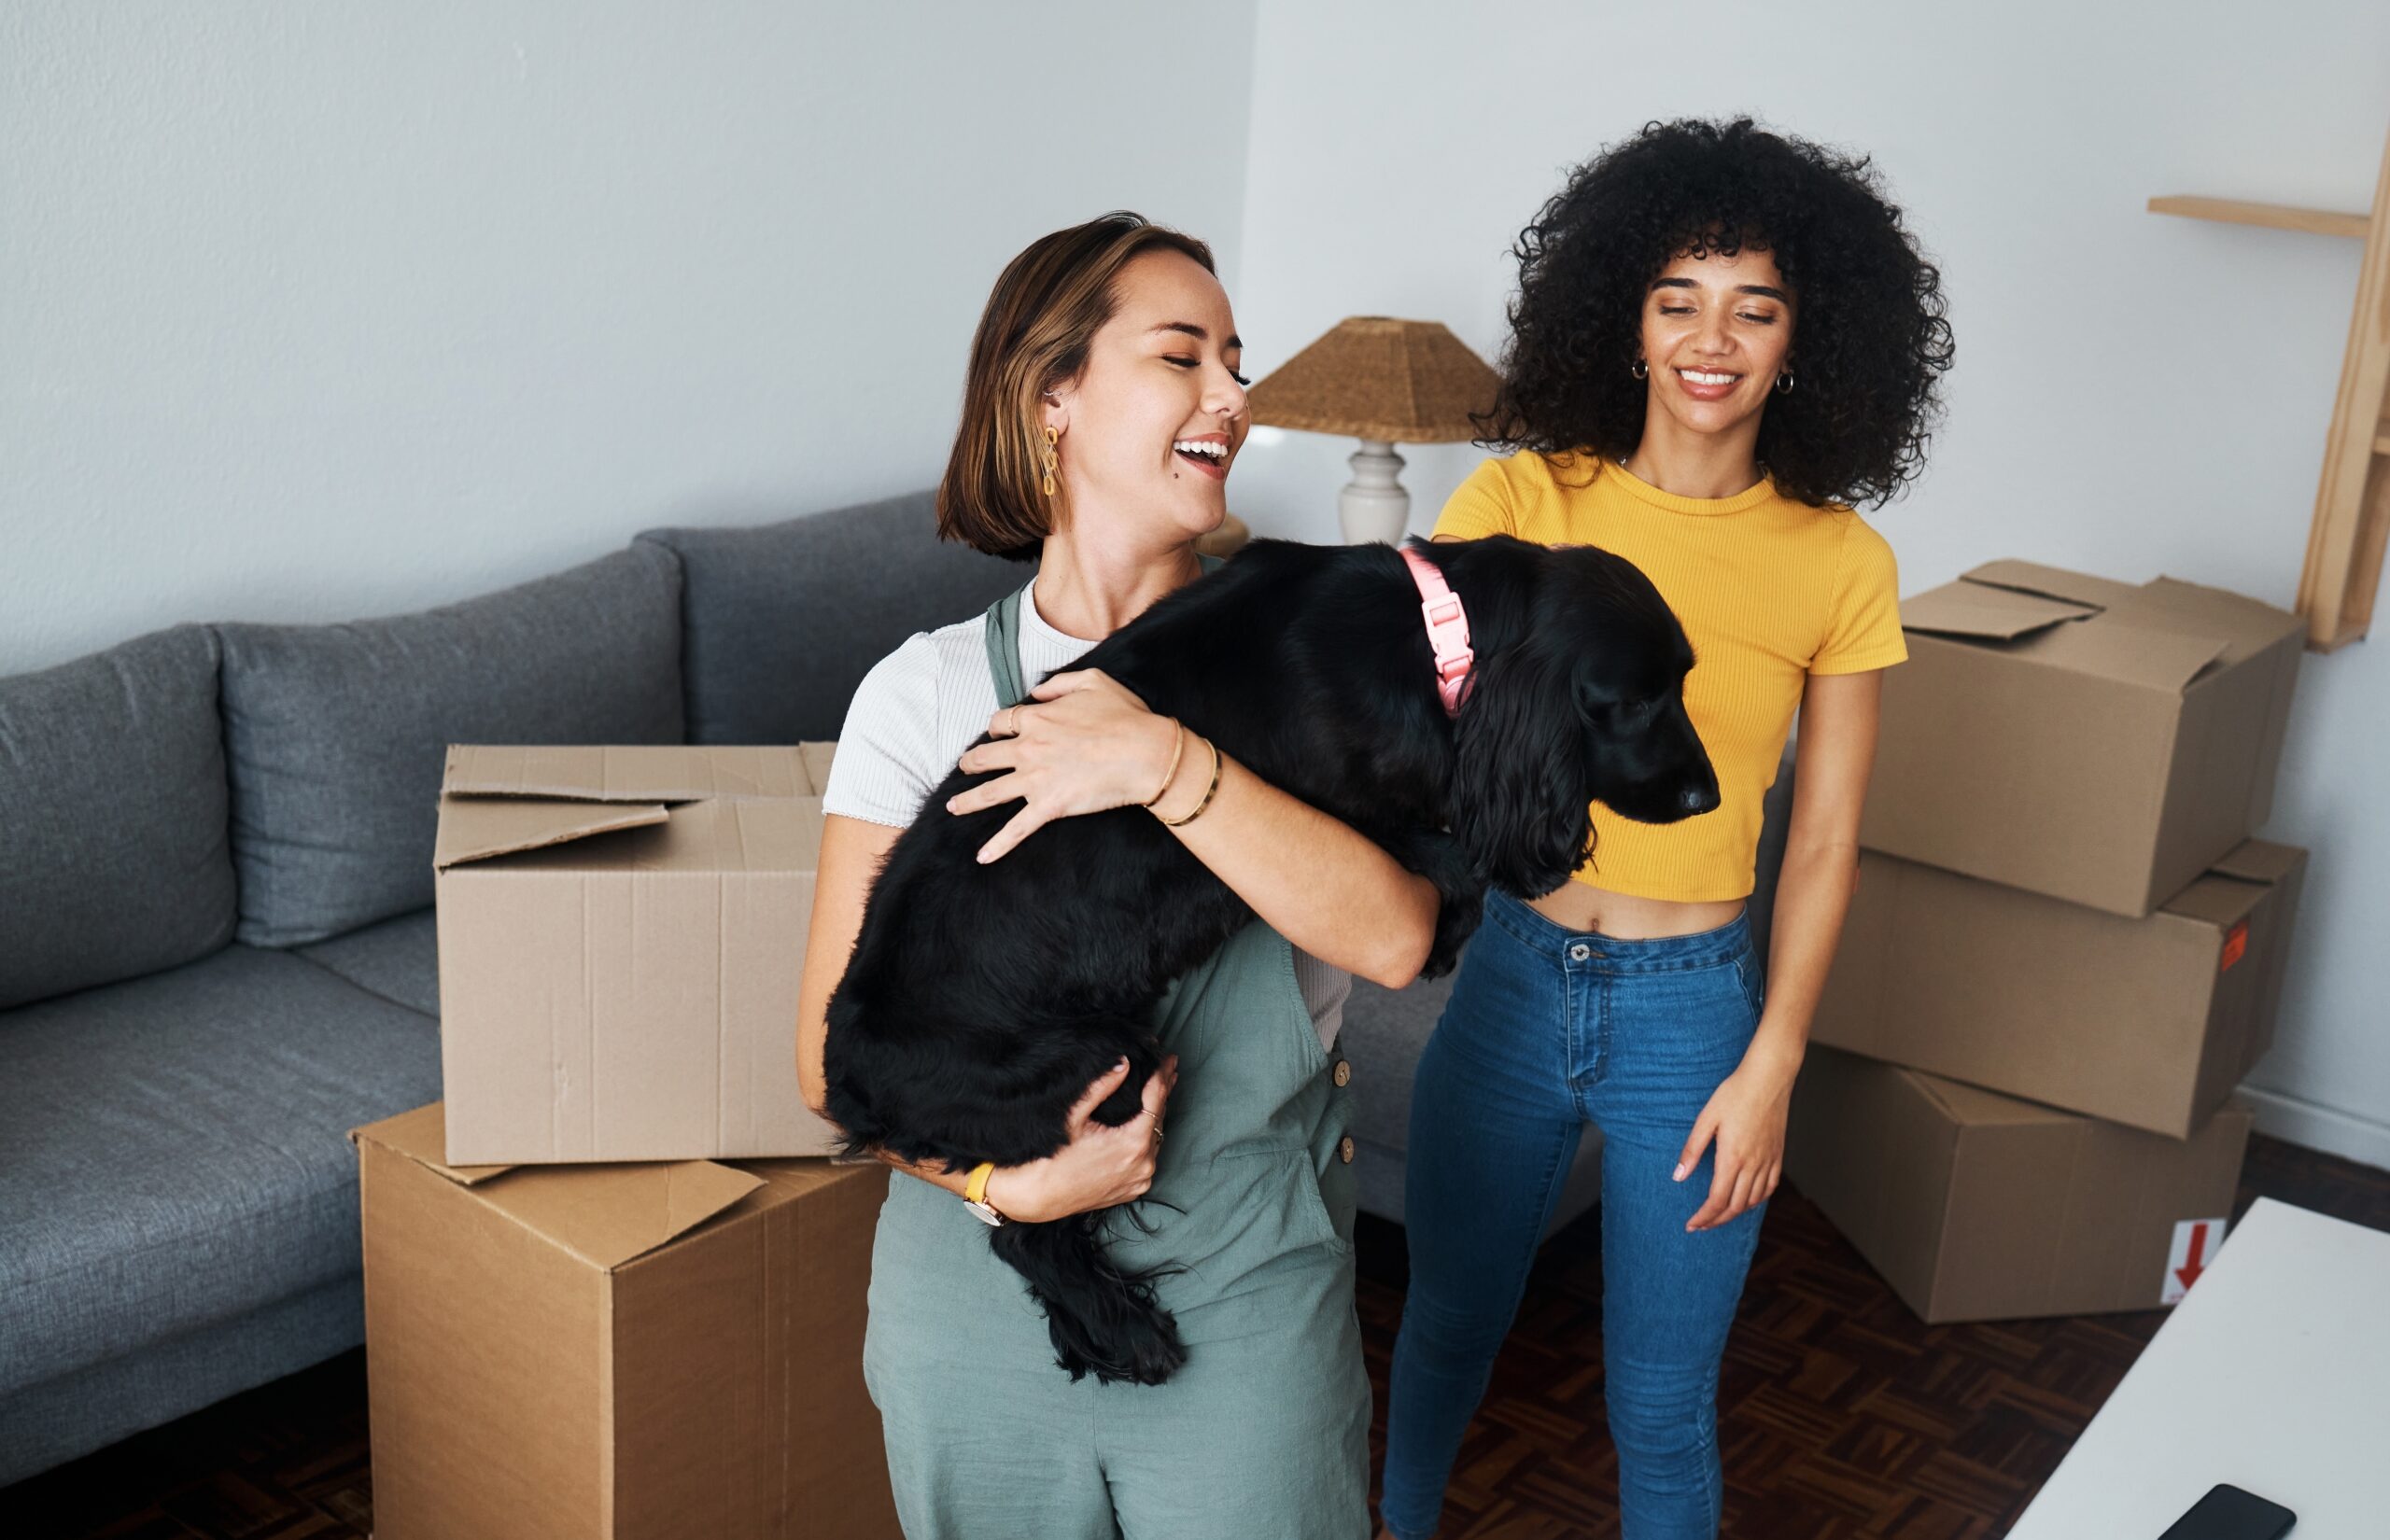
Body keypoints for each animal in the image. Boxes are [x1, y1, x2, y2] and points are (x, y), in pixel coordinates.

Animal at [822, 535, 1721, 1384]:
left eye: (1683, 682)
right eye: (1633, 702)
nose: (1706, 799)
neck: (1434, 635)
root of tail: (848, 1077)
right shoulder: (1340, 798)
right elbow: (1452, 852)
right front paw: (1448, 931)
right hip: (1102, 1060)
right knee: (1030, 1235)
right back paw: (1128, 1335)